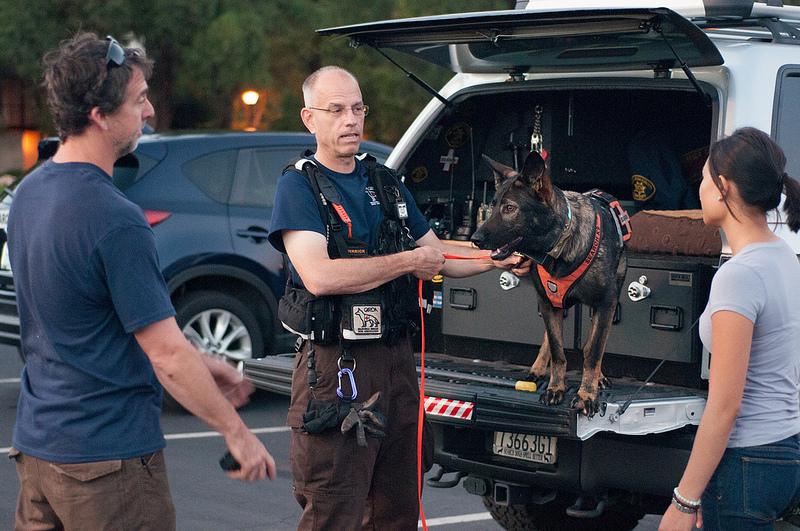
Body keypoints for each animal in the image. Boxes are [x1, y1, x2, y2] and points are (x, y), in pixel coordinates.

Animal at [472, 152, 628, 418]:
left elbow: (594, 351)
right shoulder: (548, 301)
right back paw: (537, 369)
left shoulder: (606, 304)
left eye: (510, 208)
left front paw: (587, 395)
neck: (560, 246)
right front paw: (556, 388)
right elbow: (557, 350)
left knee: (592, 343)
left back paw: (598, 377)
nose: (475, 239)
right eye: (492, 206)